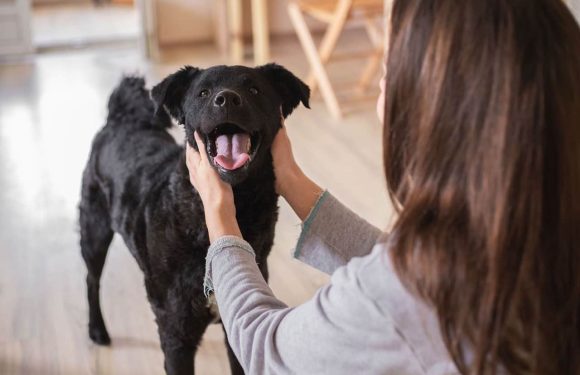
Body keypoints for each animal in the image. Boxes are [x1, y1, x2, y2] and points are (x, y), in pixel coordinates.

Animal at [79, 65, 310, 375]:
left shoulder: (236, 328)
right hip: (94, 230)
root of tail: (122, 117)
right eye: (204, 92)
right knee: (92, 280)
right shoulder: (176, 333)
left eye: (254, 89)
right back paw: (97, 330)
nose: (227, 99)